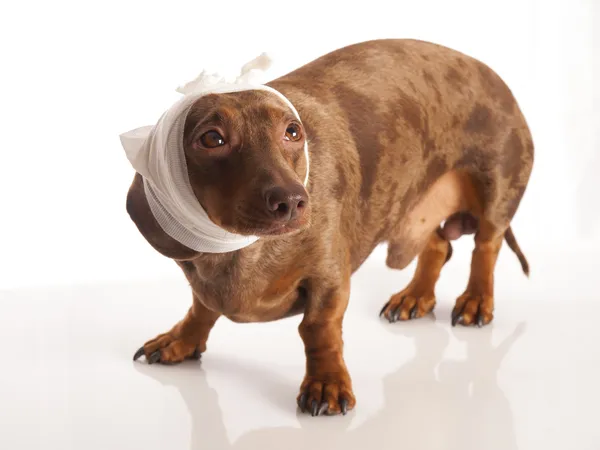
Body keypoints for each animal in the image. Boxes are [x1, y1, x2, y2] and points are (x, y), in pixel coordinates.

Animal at [124, 38, 532, 414]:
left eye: (292, 131)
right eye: (212, 138)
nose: (293, 201)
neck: (242, 248)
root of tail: (492, 75)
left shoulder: (330, 276)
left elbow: (318, 328)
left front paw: (326, 384)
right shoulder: (202, 280)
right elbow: (202, 306)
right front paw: (182, 338)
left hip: (497, 192)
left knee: (487, 246)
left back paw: (476, 301)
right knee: (439, 245)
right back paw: (415, 296)